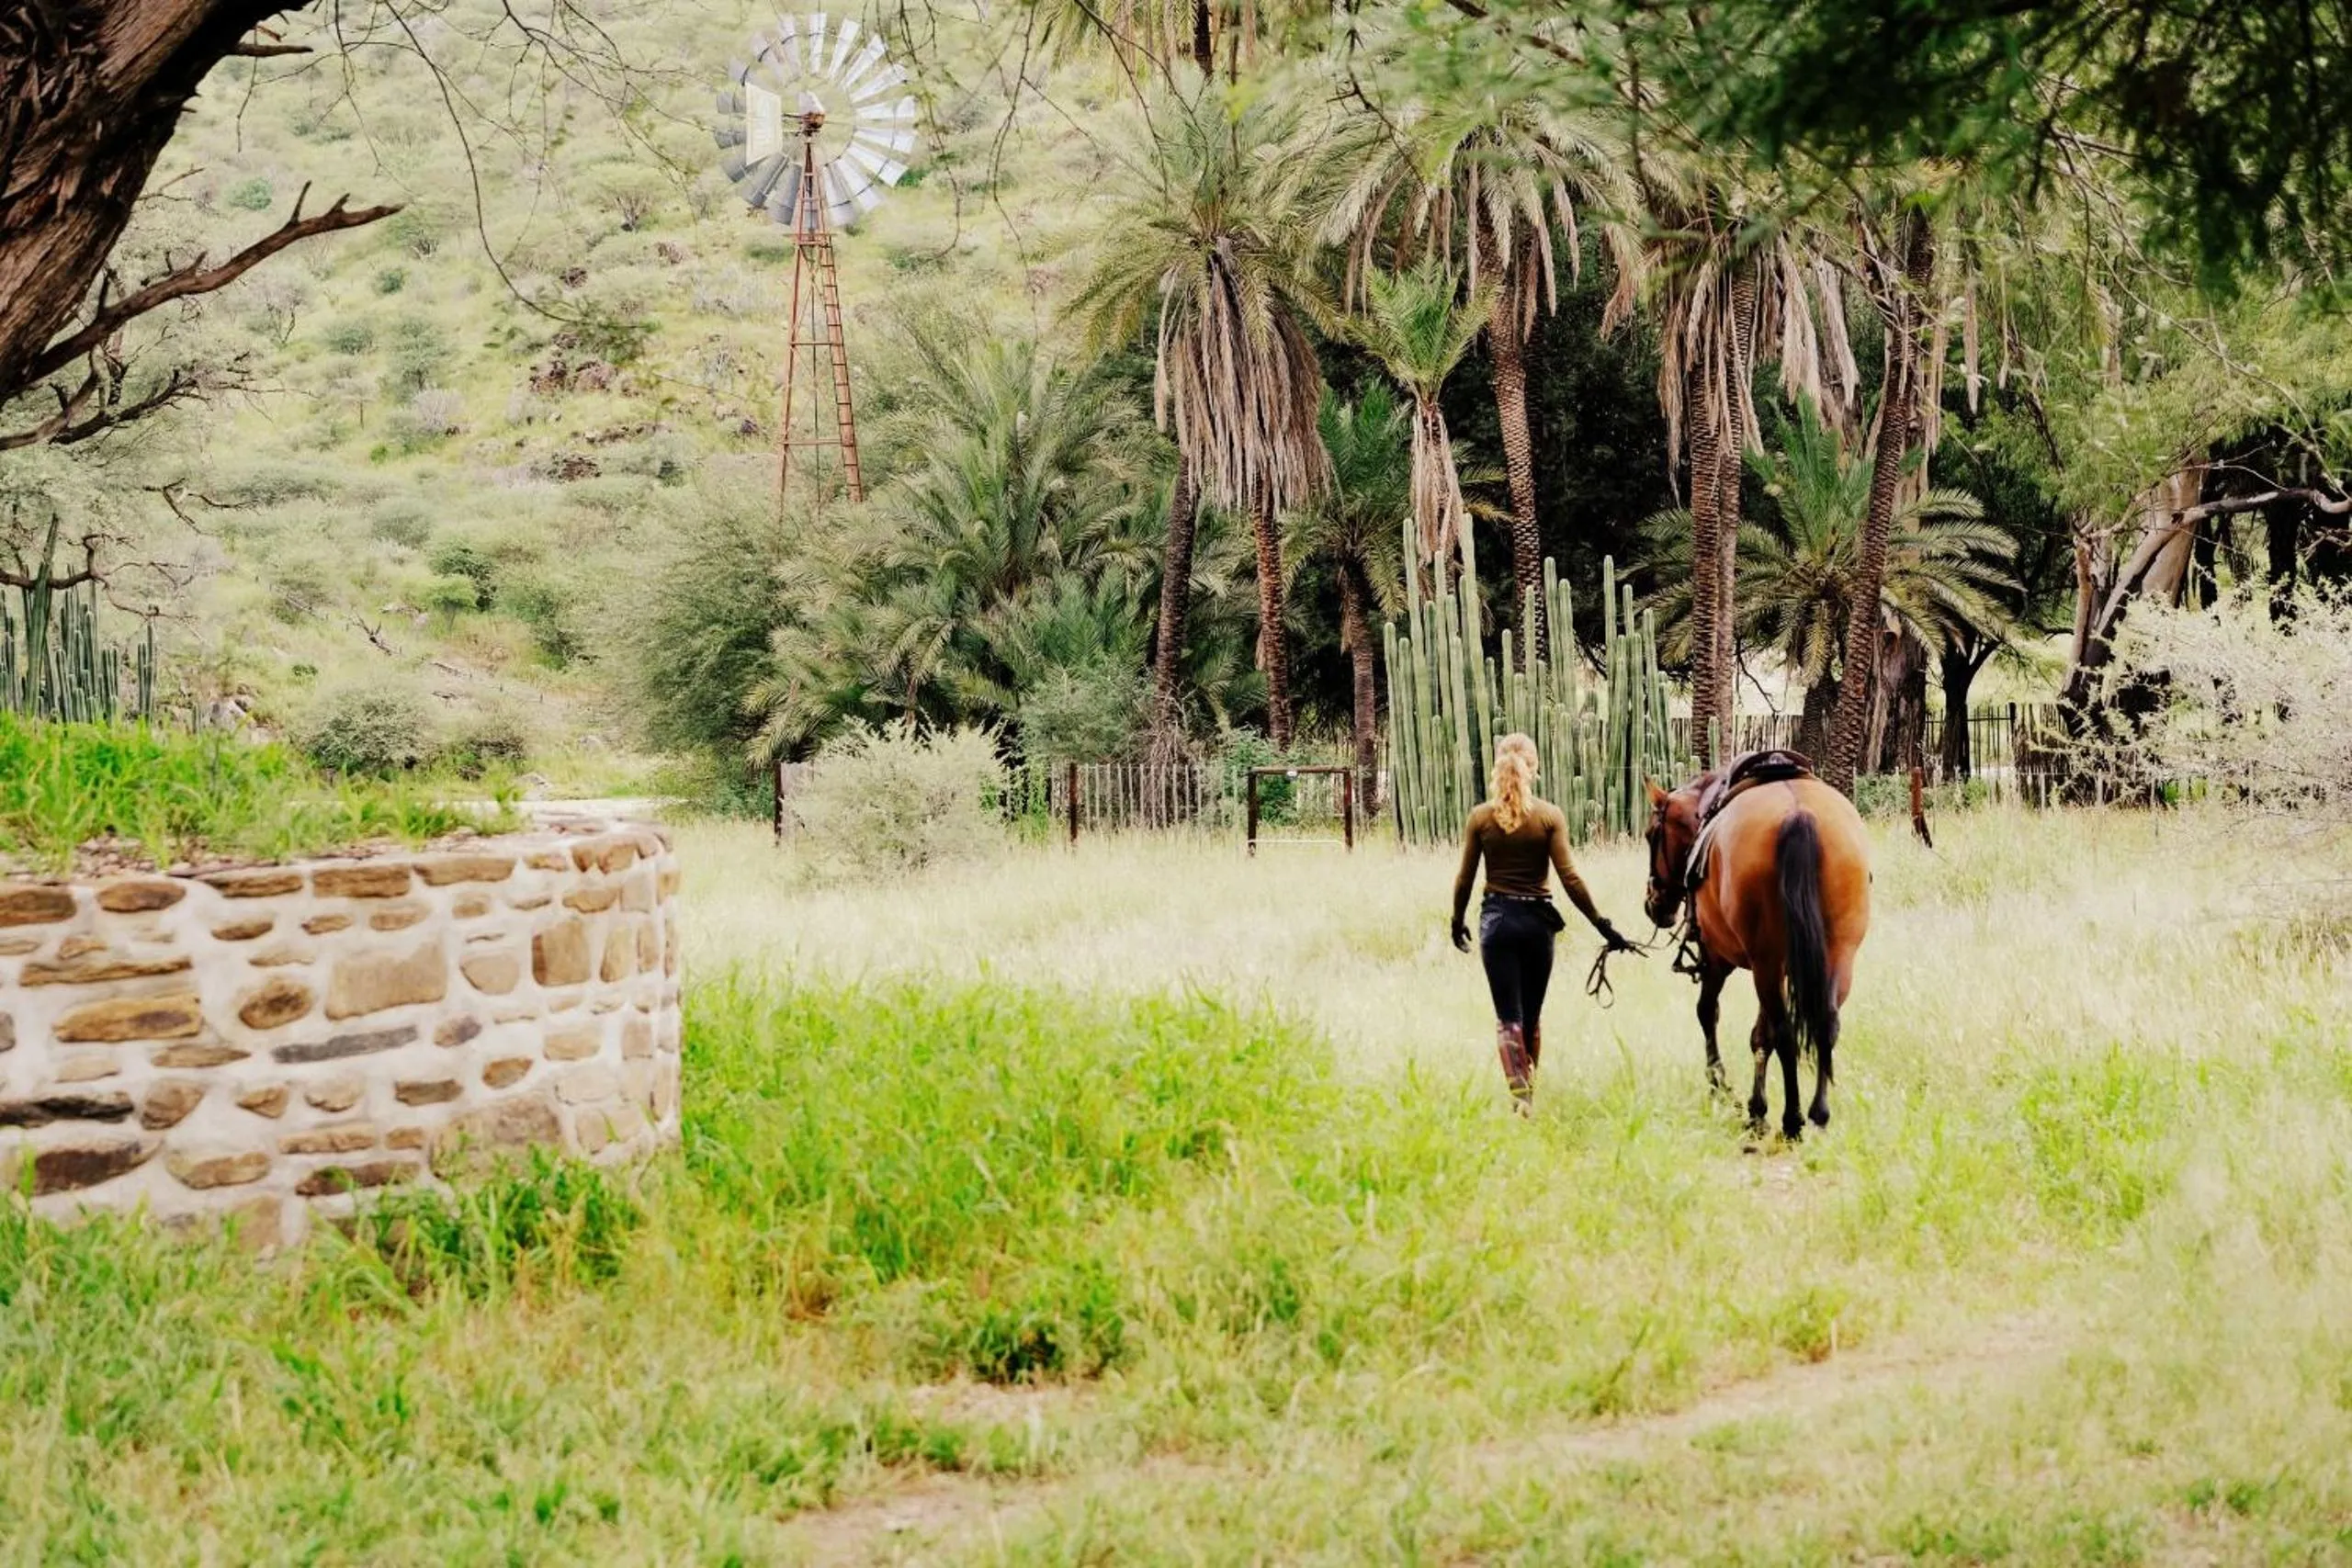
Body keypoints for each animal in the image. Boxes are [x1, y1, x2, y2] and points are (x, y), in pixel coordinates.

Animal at [1642, 758, 1872, 1140]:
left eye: (1650, 835)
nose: (1653, 904)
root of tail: (1798, 814)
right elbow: (1760, 1035)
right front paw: (1756, 1107)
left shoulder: (1718, 959)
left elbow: (1709, 1013)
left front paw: (1724, 1091)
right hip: (1838, 955)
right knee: (1825, 1024)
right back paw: (1819, 1115)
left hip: (1765, 962)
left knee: (1785, 1033)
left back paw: (1793, 1120)